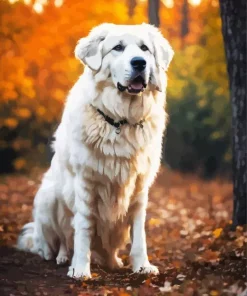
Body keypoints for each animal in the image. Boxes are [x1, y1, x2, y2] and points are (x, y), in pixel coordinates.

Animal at [17, 22, 174, 278]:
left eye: (145, 49)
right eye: (118, 47)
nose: (139, 62)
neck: (121, 121)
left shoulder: (139, 186)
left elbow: (139, 232)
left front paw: (142, 265)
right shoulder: (85, 183)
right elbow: (82, 228)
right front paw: (81, 269)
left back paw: (112, 262)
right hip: (49, 197)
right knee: (57, 239)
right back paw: (60, 257)